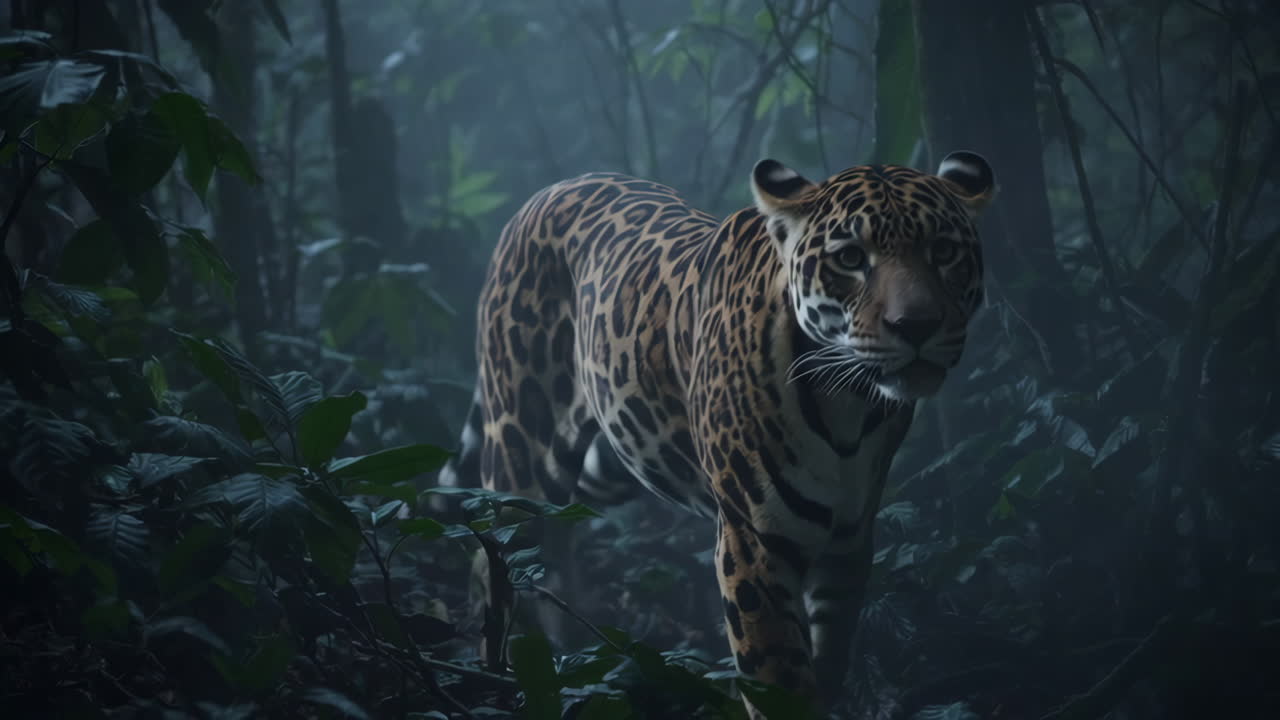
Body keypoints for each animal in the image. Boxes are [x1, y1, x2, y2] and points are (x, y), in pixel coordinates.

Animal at [437, 151, 995, 716]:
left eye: (944, 251)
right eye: (851, 258)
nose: (916, 325)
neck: (849, 403)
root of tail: (546, 192)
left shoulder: (849, 543)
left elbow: (829, 658)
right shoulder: (753, 543)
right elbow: (779, 680)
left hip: (620, 448)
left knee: (556, 534)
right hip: (520, 452)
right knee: (498, 553)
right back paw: (499, 670)